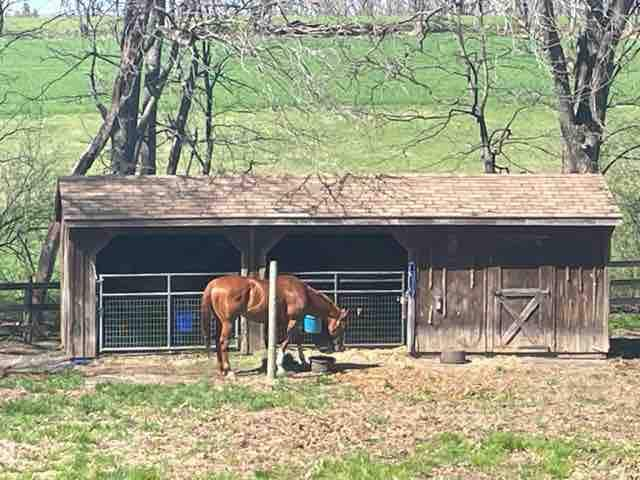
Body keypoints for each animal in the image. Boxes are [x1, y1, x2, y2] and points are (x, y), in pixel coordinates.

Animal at [200, 276, 350, 376]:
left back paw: (221, 370)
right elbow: (285, 342)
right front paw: (281, 368)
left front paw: (303, 362)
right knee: (223, 342)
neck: (302, 292)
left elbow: (296, 340)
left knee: (217, 342)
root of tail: (214, 284)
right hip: (228, 322)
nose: (341, 347)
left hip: (220, 322)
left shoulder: (288, 322)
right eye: (341, 327)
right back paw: (229, 371)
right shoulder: (293, 321)